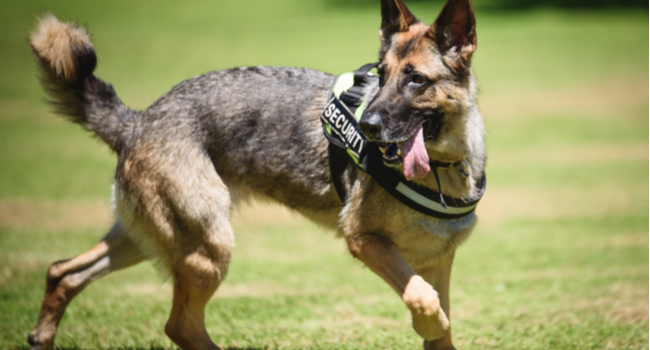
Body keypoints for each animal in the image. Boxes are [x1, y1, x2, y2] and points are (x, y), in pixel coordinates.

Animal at [27, 0, 484, 350]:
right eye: (382, 76)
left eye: (416, 80)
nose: (367, 126)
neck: (443, 168)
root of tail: (136, 122)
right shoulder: (365, 240)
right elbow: (425, 301)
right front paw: (428, 323)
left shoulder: (438, 260)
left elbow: (437, 320)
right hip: (208, 245)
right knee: (179, 325)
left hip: (149, 238)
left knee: (63, 271)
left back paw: (42, 336)